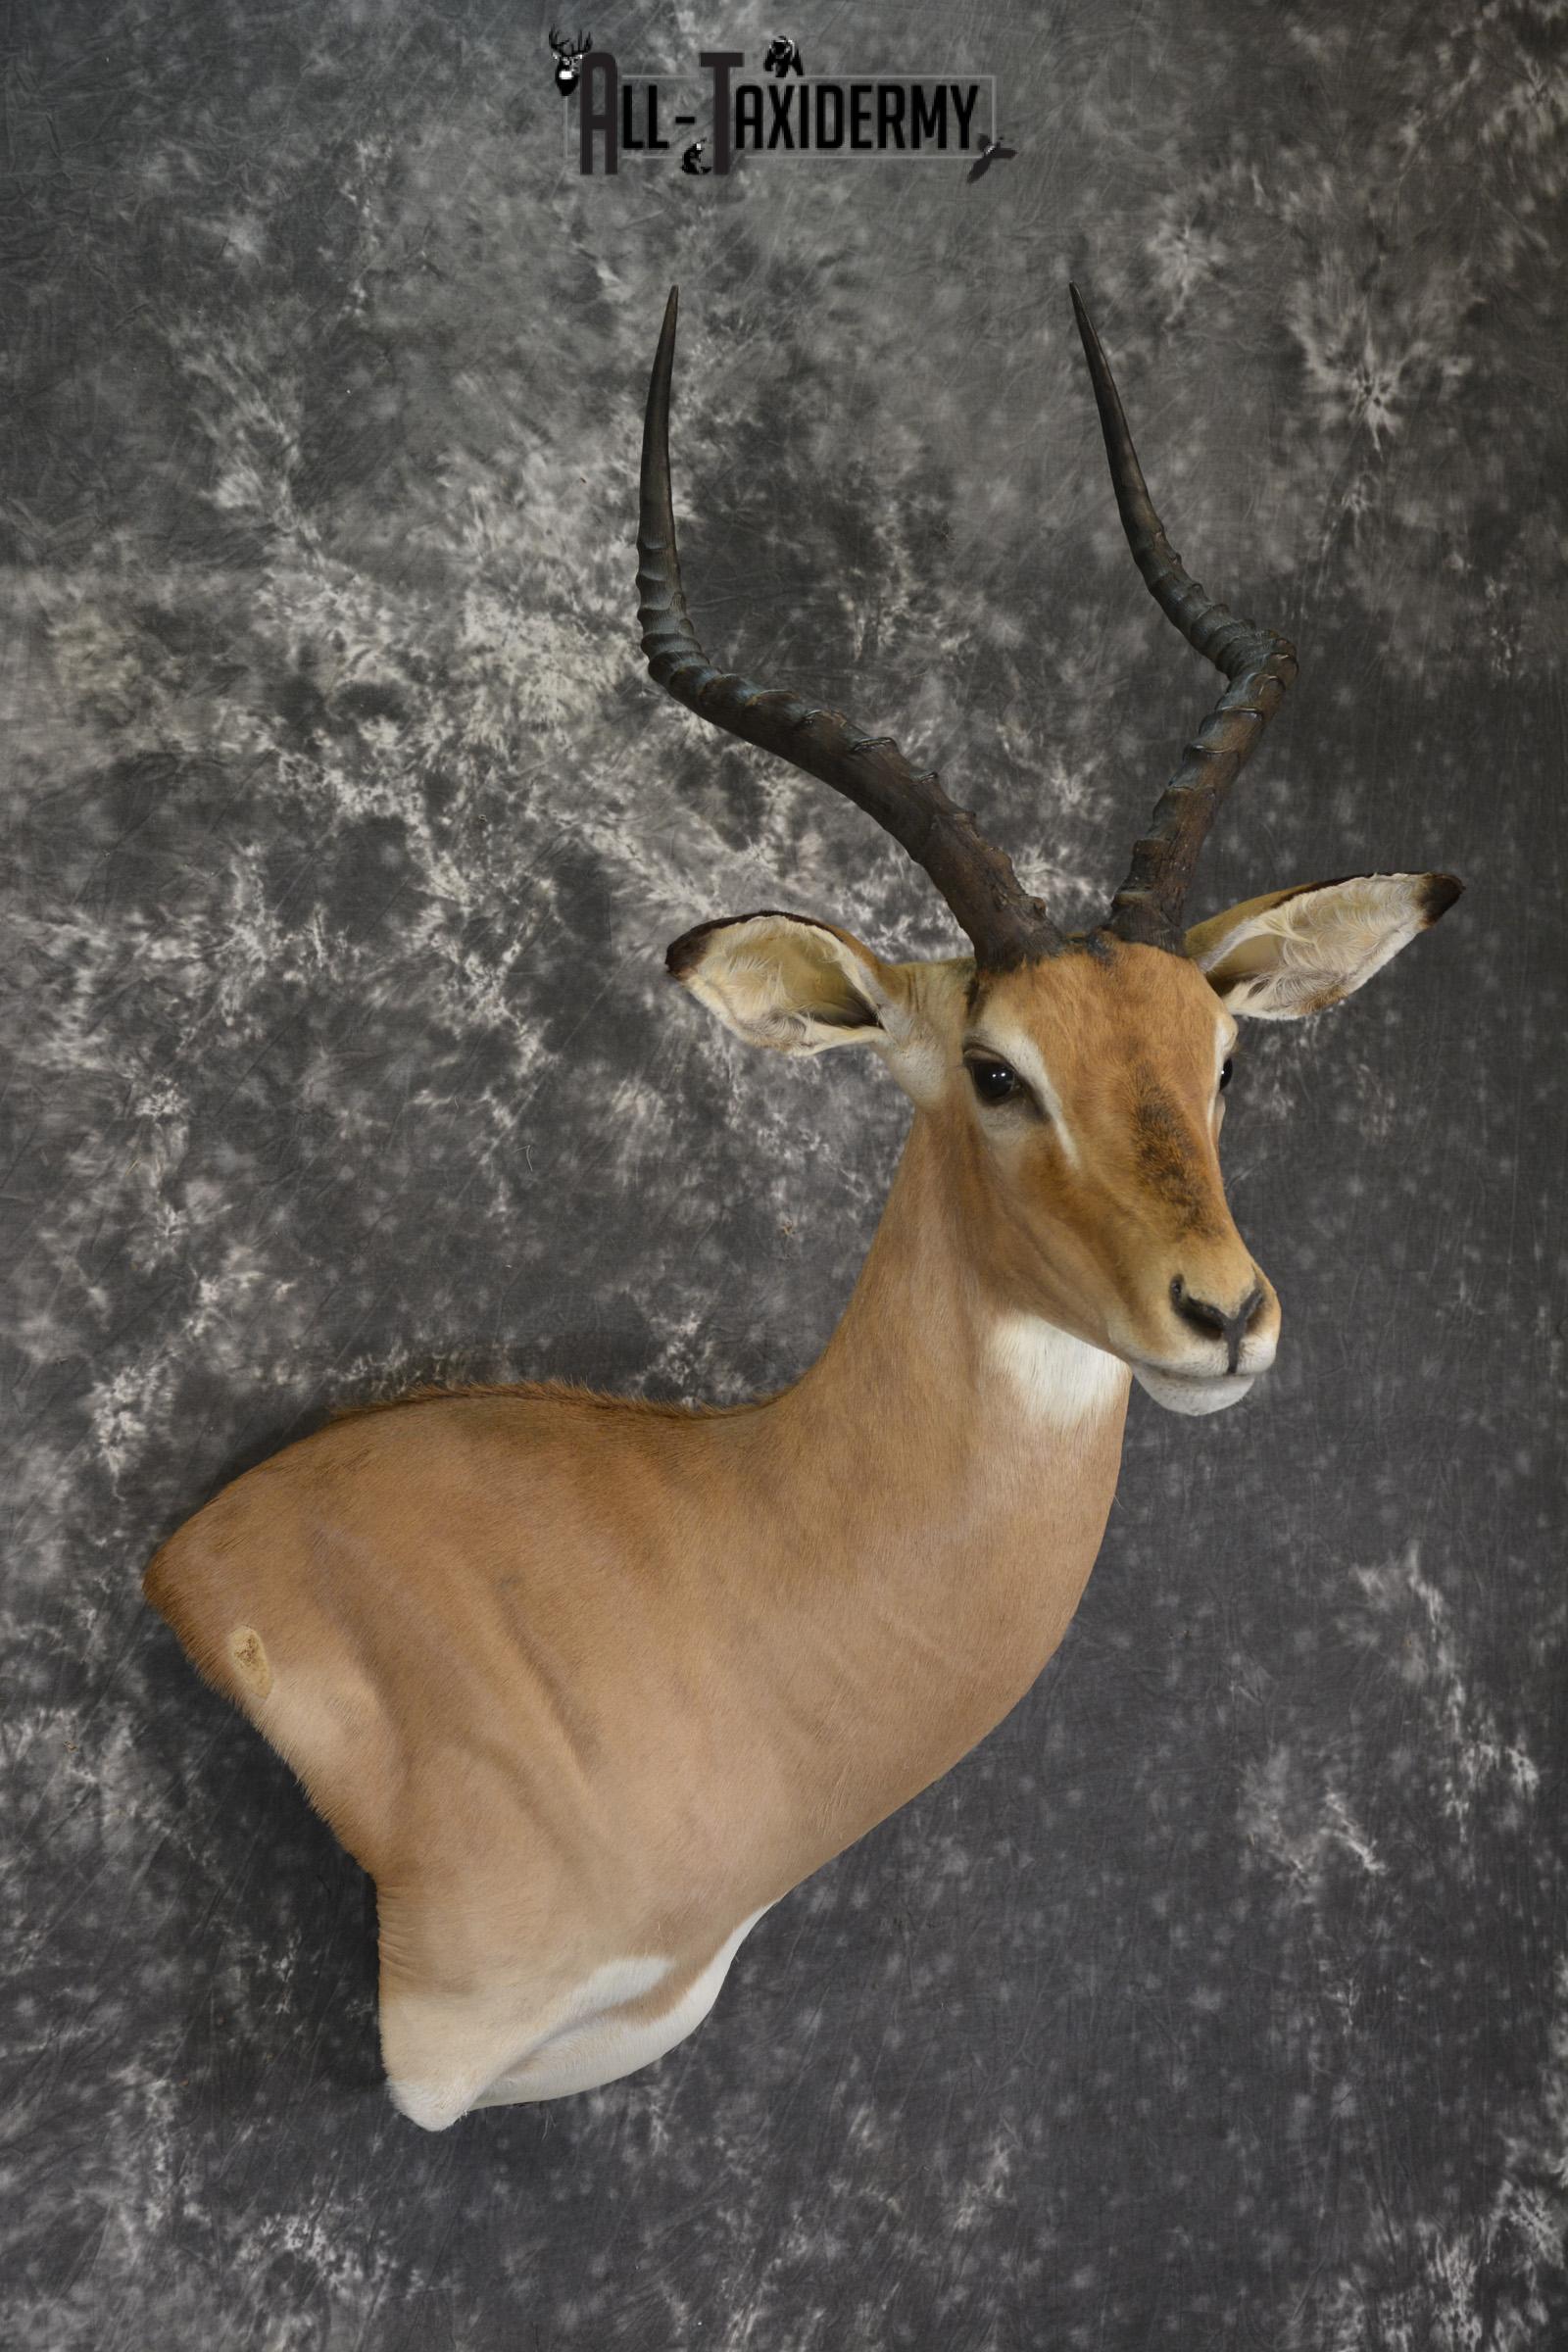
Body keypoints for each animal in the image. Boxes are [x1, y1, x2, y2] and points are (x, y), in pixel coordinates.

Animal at [143, 286, 1462, 2130]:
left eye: (1217, 1057)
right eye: (994, 1069)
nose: (1224, 1314)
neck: (741, 1575)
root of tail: (184, 1555)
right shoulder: (443, 2055)